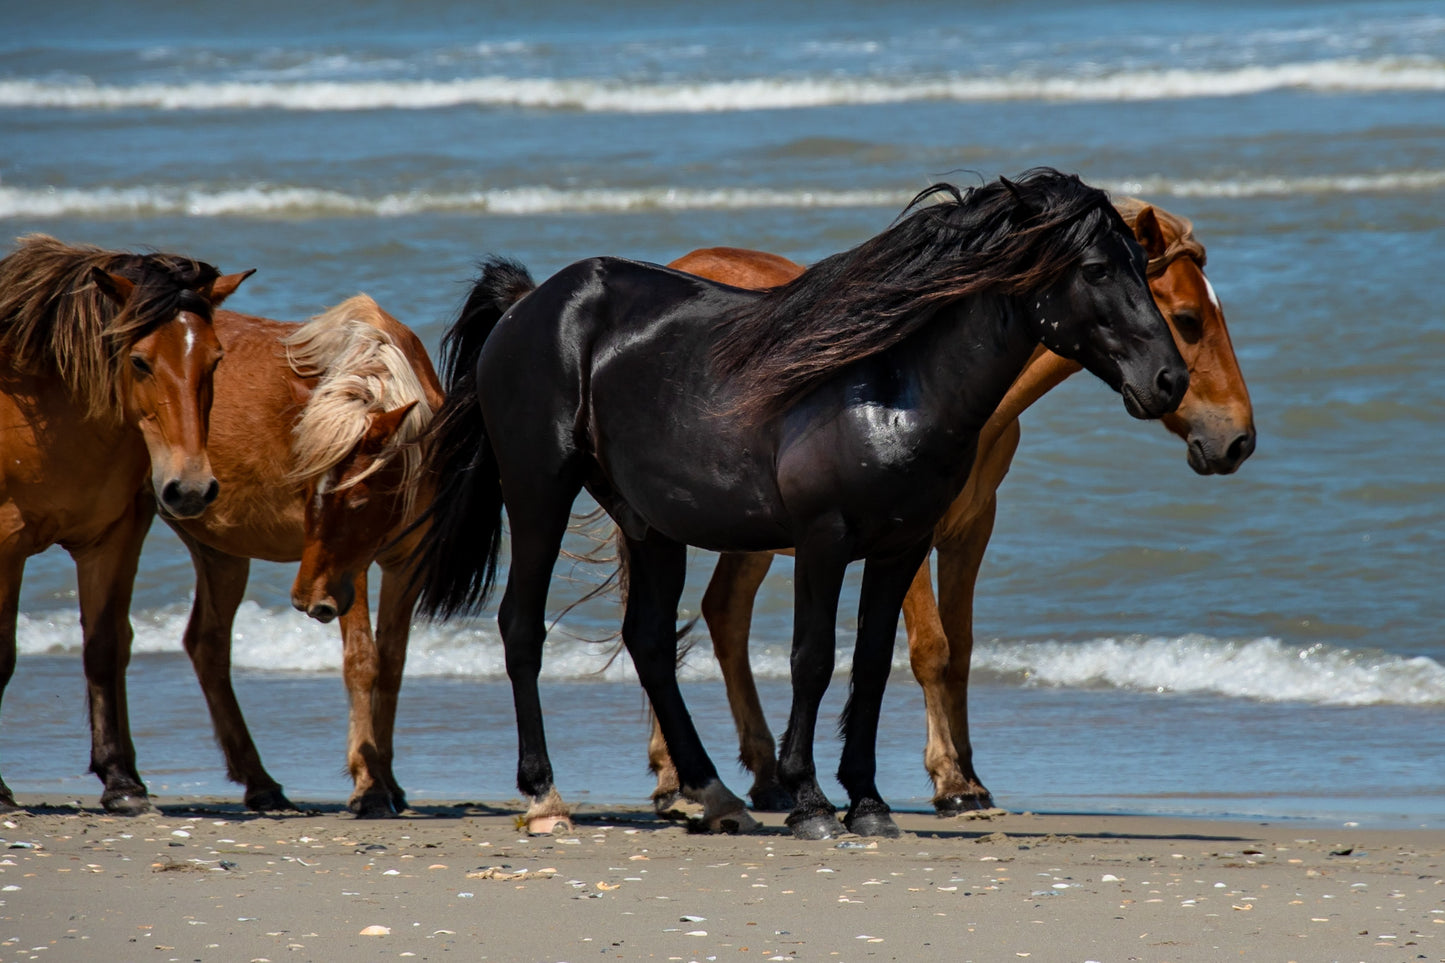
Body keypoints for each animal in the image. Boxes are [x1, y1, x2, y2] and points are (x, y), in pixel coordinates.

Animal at [0, 234, 249, 809]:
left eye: (216, 360)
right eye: (139, 361)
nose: (191, 488)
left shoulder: (113, 539)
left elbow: (104, 648)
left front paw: (121, 780)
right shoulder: (5, 542)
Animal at [416, 168, 1184, 838]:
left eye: (1138, 266)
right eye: (1096, 270)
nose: (1168, 380)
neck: (891, 384)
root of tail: (531, 301)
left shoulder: (901, 546)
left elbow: (870, 663)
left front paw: (867, 802)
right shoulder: (823, 541)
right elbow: (812, 658)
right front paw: (810, 800)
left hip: (647, 521)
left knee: (649, 641)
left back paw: (716, 796)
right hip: (538, 492)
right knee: (522, 627)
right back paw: (546, 797)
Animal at [650, 198, 1260, 815]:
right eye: (1187, 317)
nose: (1238, 439)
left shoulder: (971, 530)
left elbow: (961, 648)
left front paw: (970, 775)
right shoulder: (907, 534)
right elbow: (930, 649)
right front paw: (950, 781)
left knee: (723, 615)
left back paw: (762, 778)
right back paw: (675, 780)